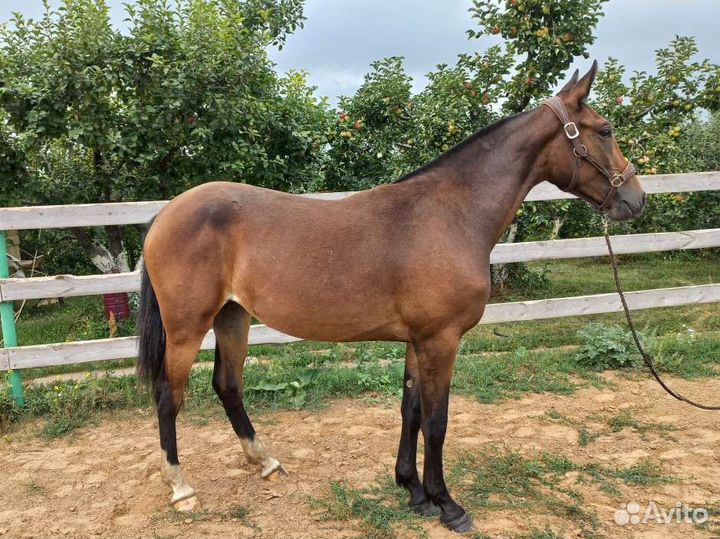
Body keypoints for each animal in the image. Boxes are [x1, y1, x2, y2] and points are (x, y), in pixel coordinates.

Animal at [137, 61, 645, 533]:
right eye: (605, 129)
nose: (636, 199)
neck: (451, 214)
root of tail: (167, 213)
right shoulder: (441, 340)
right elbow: (437, 422)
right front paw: (447, 504)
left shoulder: (417, 341)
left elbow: (411, 410)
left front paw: (413, 491)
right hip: (187, 328)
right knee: (168, 395)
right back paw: (180, 487)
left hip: (233, 317)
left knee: (228, 385)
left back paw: (266, 462)